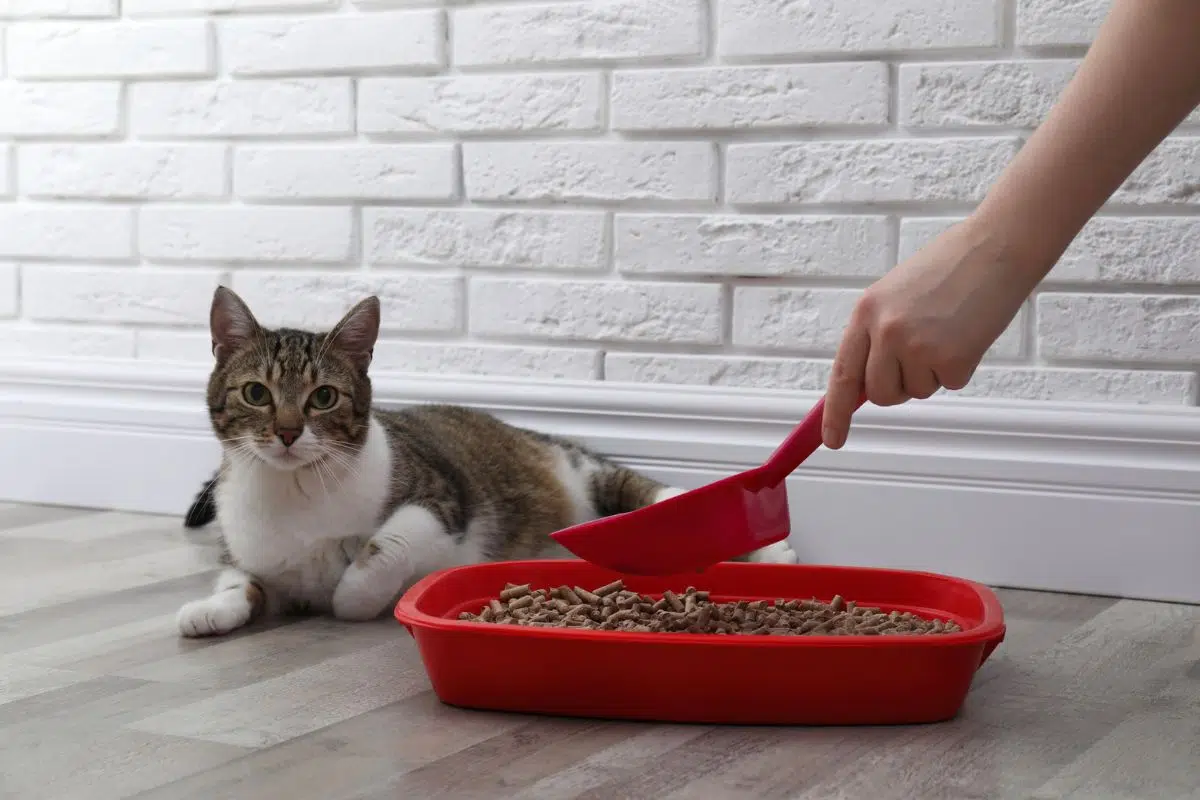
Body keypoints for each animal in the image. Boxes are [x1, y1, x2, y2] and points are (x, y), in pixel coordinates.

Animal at [175, 286, 796, 638]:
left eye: (323, 397)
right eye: (256, 393)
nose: (286, 432)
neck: (295, 490)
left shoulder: (442, 498)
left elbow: (385, 548)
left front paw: (352, 593)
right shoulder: (250, 553)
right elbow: (240, 583)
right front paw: (208, 611)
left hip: (587, 476)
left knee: (656, 496)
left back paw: (767, 545)